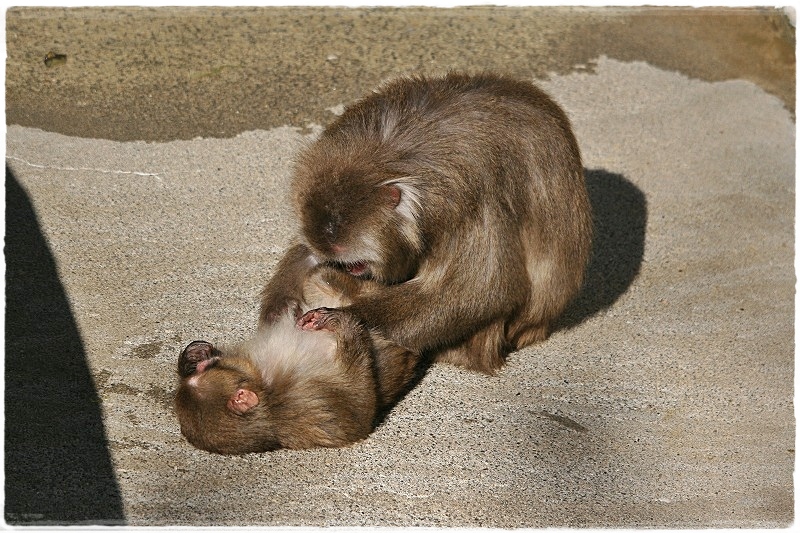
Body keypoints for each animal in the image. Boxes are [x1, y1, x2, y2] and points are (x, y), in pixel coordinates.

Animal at [270, 71, 592, 374]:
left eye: (356, 264)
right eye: (347, 264)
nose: (349, 271)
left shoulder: (470, 198)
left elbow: (483, 291)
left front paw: (343, 316)